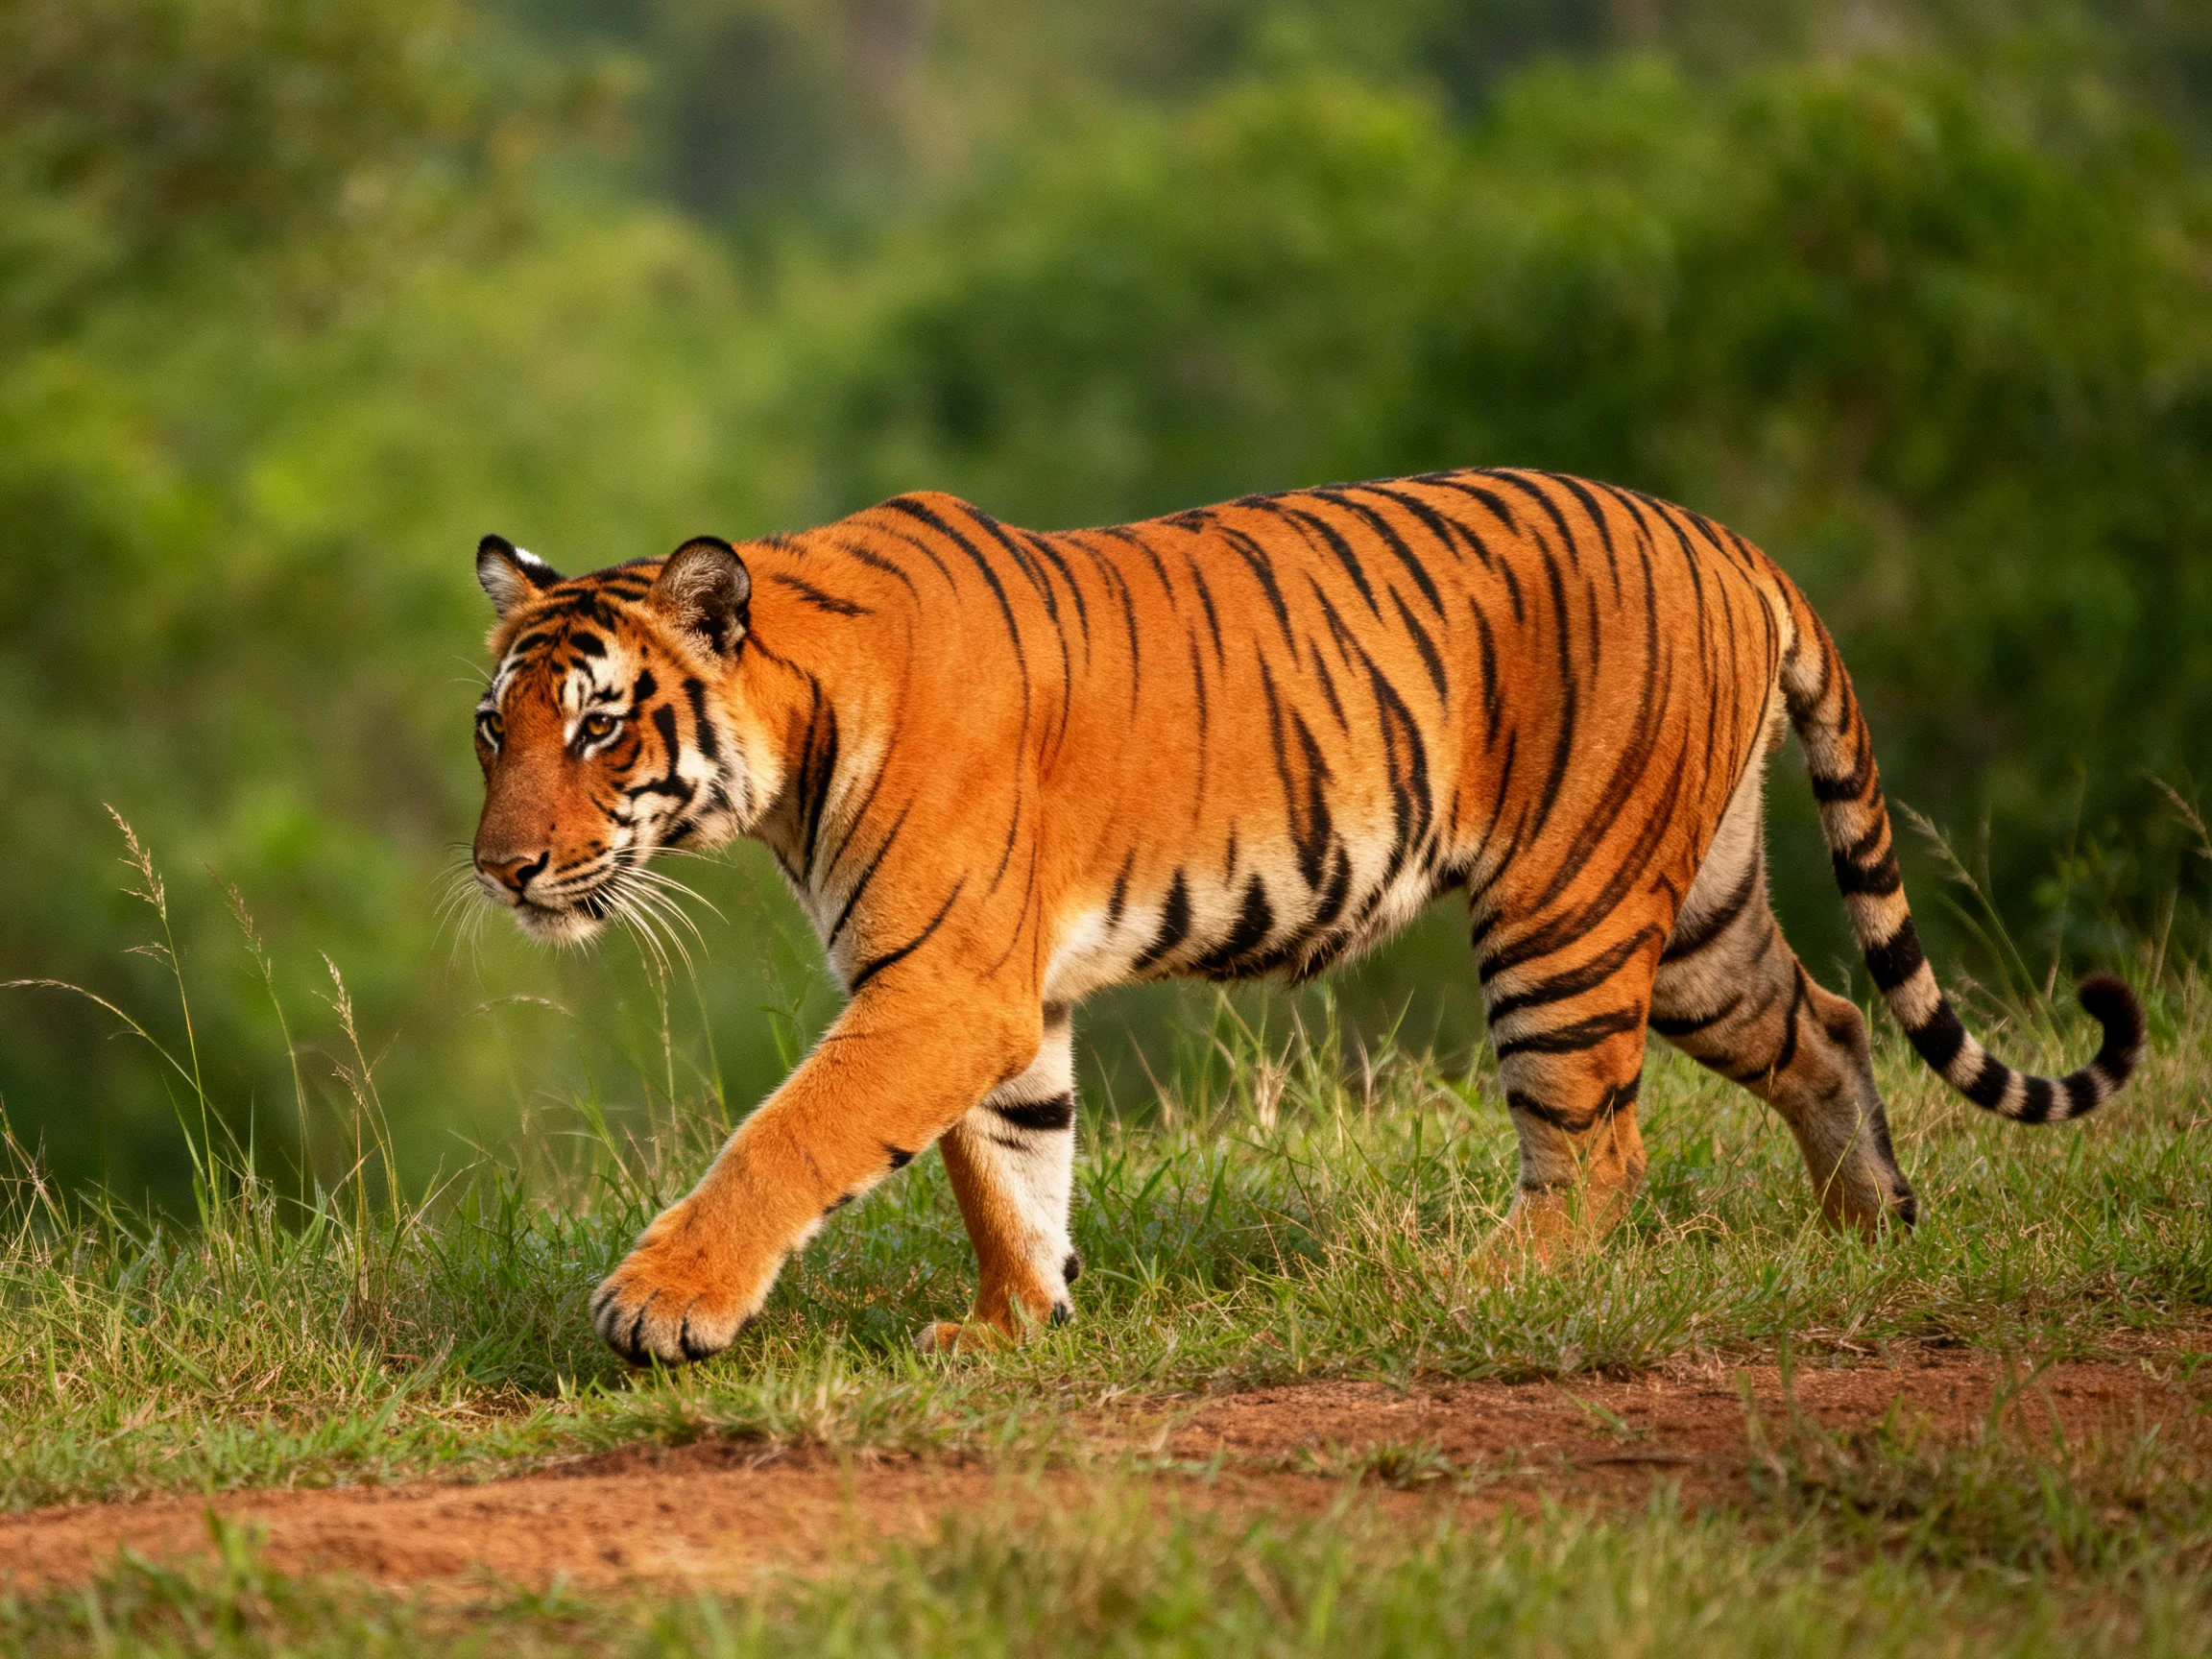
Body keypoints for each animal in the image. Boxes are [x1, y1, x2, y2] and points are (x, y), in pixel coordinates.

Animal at [467, 468, 2144, 1366]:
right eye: (498, 729)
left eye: (601, 728)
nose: (502, 870)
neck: (794, 734)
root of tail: (1730, 537)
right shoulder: (999, 998)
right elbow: (1011, 1169)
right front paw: (1015, 1326)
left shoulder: (941, 984)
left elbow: (793, 1136)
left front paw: (662, 1304)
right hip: (1702, 923)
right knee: (1838, 1024)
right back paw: (1868, 1237)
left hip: (1567, 914)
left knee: (1598, 1147)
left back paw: (1483, 1282)